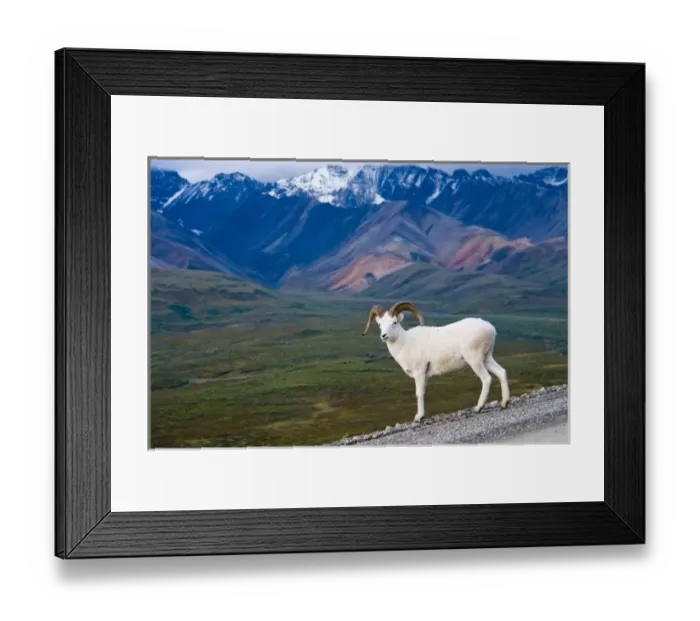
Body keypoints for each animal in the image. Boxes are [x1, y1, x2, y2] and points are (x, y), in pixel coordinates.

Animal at [363, 301, 510, 424]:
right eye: (380, 324)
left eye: (394, 323)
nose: (384, 336)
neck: (404, 343)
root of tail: (490, 328)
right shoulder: (425, 375)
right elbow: (423, 392)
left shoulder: (419, 372)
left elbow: (419, 393)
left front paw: (419, 417)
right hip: (487, 358)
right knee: (501, 372)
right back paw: (504, 403)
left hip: (475, 360)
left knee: (486, 379)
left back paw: (478, 408)